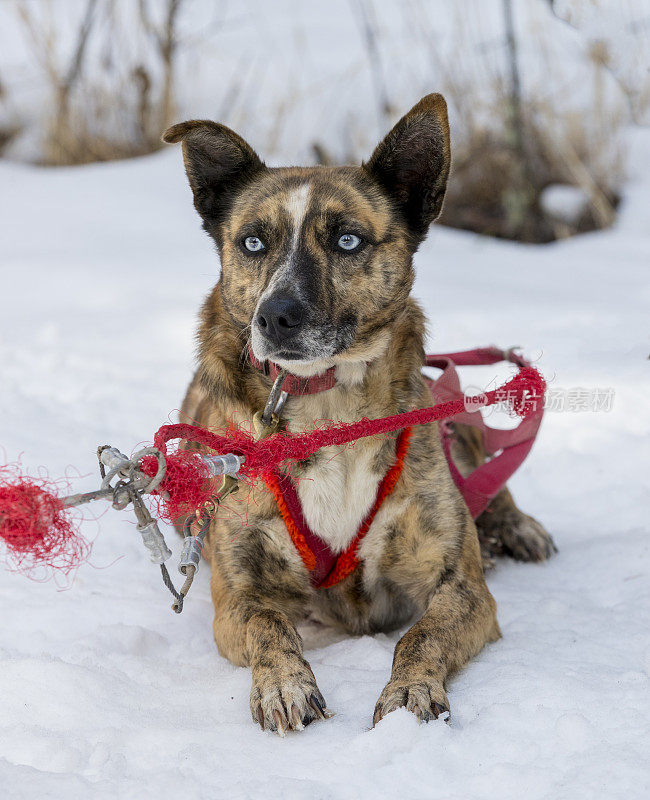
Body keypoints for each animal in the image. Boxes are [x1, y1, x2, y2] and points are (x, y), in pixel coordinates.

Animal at [162, 94, 552, 732]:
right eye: (252, 243)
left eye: (347, 241)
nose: (275, 317)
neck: (329, 404)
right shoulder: (239, 592)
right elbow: (269, 626)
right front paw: (284, 684)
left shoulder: (460, 586)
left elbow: (421, 634)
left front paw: (409, 690)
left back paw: (518, 525)